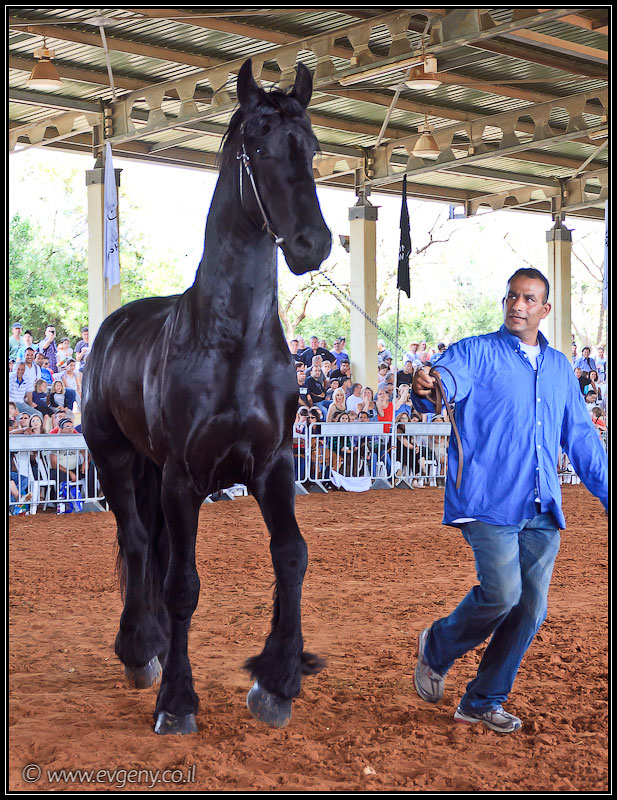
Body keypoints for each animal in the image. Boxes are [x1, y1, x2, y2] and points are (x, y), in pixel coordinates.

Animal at [82, 58, 332, 735]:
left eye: (311, 148)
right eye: (259, 146)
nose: (313, 244)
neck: (233, 343)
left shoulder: (273, 466)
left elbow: (291, 556)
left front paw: (277, 681)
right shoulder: (183, 478)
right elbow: (181, 585)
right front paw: (177, 700)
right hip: (115, 458)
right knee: (137, 542)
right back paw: (140, 651)